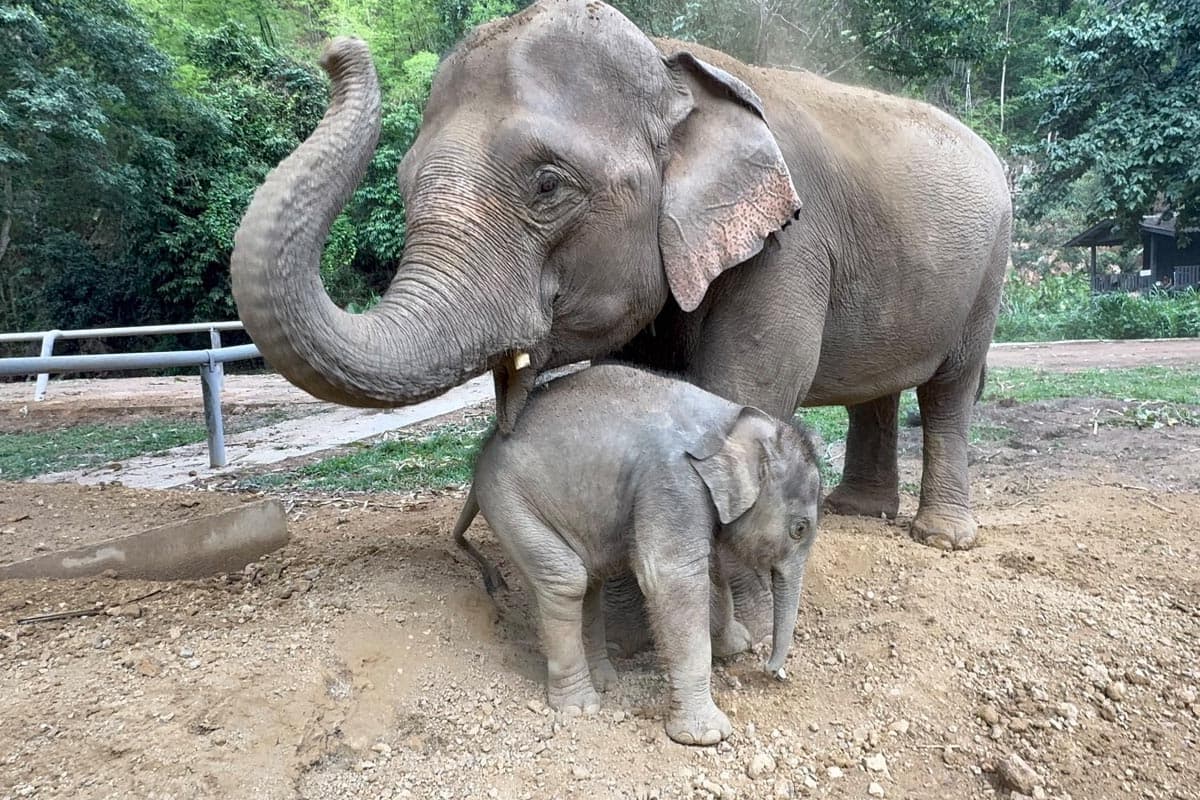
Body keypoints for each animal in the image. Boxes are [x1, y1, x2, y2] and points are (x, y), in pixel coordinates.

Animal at [230, 0, 1011, 642]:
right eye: (402, 184)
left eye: (548, 186)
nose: (336, 47)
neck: (670, 66)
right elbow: (648, 390)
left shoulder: (789, 243)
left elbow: (742, 388)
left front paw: (736, 630)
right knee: (879, 394)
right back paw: (858, 512)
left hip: (991, 270)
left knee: (949, 391)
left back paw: (940, 538)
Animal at [451, 363, 822, 745]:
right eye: (800, 528)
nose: (771, 670)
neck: (731, 419)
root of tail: (483, 452)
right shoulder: (672, 481)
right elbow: (672, 578)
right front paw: (705, 735)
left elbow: (709, 566)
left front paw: (735, 645)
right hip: (510, 502)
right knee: (566, 579)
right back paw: (579, 707)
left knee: (588, 581)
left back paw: (605, 681)